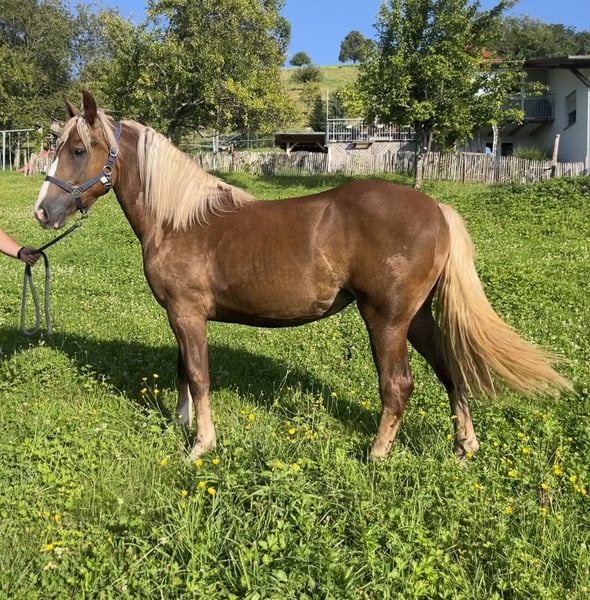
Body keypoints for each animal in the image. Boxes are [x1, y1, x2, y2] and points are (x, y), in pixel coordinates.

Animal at [33, 91, 572, 461]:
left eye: (78, 149)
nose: (43, 211)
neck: (179, 219)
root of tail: (435, 208)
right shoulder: (178, 317)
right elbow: (183, 370)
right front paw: (185, 425)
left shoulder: (188, 314)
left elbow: (200, 375)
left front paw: (201, 445)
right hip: (417, 318)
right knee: (449, 370)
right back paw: (464, 447)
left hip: (387, 320)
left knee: (398, 385)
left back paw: (377, 455)